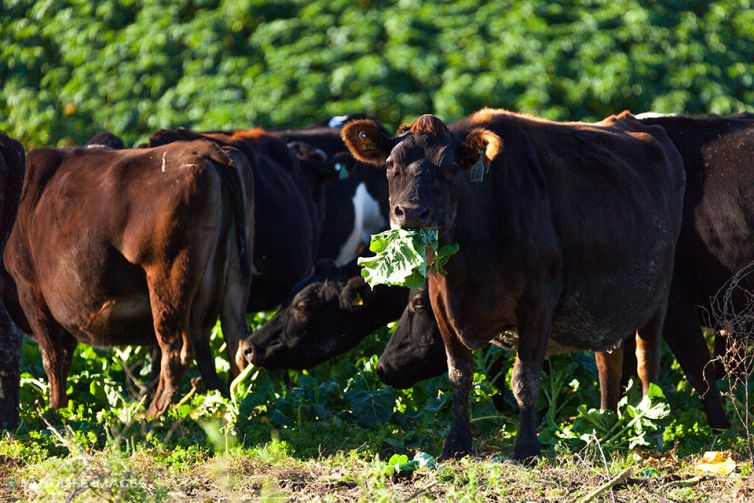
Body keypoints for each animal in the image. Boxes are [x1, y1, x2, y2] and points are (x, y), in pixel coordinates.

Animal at [344, 109, 684, 460]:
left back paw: (650, 425)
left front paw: (526, 447)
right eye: (390, 165)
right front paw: (456, 443)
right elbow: (459, 375)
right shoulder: (441, 302)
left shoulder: (537, 304)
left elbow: (525, 379)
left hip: (657, 295)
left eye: (449, 168)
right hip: (604, 306)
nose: (411, 212)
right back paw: (605, 427)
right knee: (608, 363)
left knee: (647, 363)